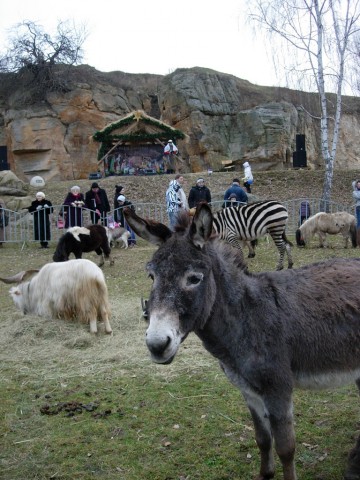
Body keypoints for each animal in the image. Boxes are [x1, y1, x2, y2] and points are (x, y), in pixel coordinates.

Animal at [123, 205, 360, 480]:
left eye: (194, 278)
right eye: (151, 276)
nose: (156, 345)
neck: (247, 315)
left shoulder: (278, 388)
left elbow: (286, 448)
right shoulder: (249, 391)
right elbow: (262, 440)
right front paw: (265, 474)